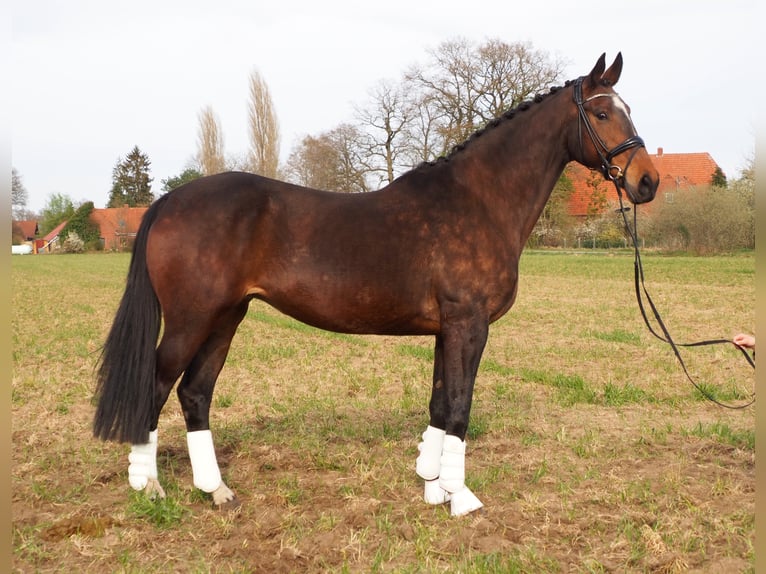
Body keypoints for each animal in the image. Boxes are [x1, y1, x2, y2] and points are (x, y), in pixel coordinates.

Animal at [94, 54, 660, 516]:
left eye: (629, 108)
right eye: (603, 114)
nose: (647, 181)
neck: (479, 200)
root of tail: (170, 200)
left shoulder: (446, 330)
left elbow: (440, 404)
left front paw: (432, 486)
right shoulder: (469, 324)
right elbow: (460, 408)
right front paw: (460, 498)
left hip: (226, 317)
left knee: (195, 392)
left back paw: (216, 491)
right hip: (191, 319)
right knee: (156, 384)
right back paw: (149, 487)